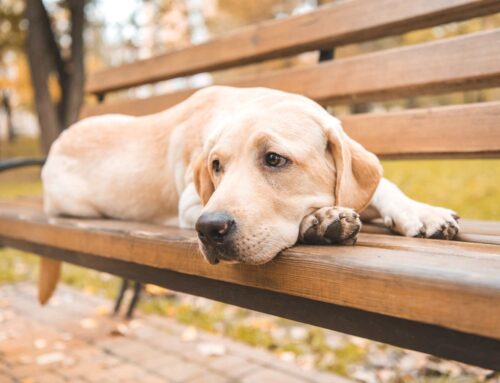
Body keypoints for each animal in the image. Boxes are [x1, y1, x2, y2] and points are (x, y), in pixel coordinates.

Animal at [39, 86, 458, 304]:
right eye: (216, 166)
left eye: (274, 159)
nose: (209, 230)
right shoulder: (191, 203)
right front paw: (320, 221)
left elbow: (382, 186)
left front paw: (421, 212)